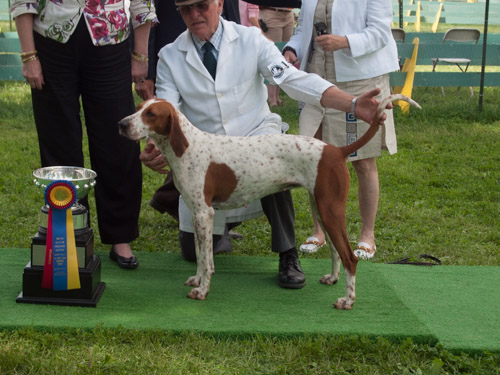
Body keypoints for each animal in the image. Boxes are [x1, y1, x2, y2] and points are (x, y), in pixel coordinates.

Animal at [119, 94, 420, 312]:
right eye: (138, 108)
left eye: (151, 114)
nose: (122, 124)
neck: (187, 146)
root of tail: (336, 150)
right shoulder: (196, 215)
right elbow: (201, 256)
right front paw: (197, 279)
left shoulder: (204, 213)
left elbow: (207, 260)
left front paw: (202, 290)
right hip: (321, 208)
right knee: (336, 250)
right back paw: (333, 279)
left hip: (330, 210)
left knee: (350, 256)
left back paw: (348, 301)